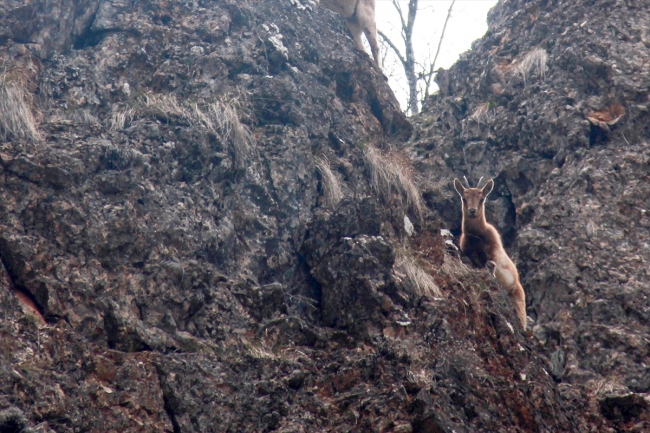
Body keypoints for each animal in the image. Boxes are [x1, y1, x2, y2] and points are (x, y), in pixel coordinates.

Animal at [450, 177, 528, 330]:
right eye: (464, 198)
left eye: (482, 198)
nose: (472, 211)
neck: (477, 236)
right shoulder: (469, 251)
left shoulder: (495, 250)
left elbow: (491, 262)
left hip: (518, 299)